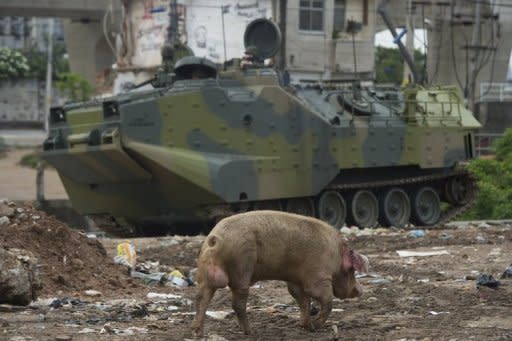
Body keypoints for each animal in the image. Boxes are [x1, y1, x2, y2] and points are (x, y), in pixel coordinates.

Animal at [192, 209, 368, 336]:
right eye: (352, 270)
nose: (360, 290)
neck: (336, 255)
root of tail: (215, 237)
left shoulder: (296, 279)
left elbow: (302, 300)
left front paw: (307, 327)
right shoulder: (318, 277)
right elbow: (325, 299)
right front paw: (317, 326)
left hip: (204, 273)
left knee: (201, 298)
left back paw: (198, 333)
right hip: (241, 268)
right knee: (237, 304)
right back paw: (250, 332)